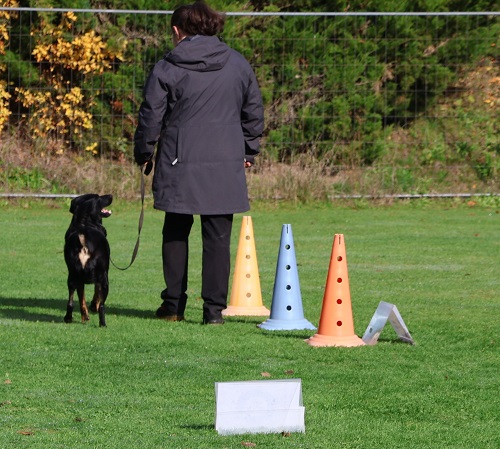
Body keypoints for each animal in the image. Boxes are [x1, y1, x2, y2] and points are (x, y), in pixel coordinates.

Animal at [64, 192, 113, 326]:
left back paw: (68, 318)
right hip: (104, 279)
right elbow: (97, 294)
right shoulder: (103, 274)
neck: (85, 222)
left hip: (72, 276)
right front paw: (93, 306)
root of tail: (83, 235)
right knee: (102, 305)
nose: (111, 195)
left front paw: (85, 315)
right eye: (99, 197)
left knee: (70, 300)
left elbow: (82, 299)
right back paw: (102, 323)